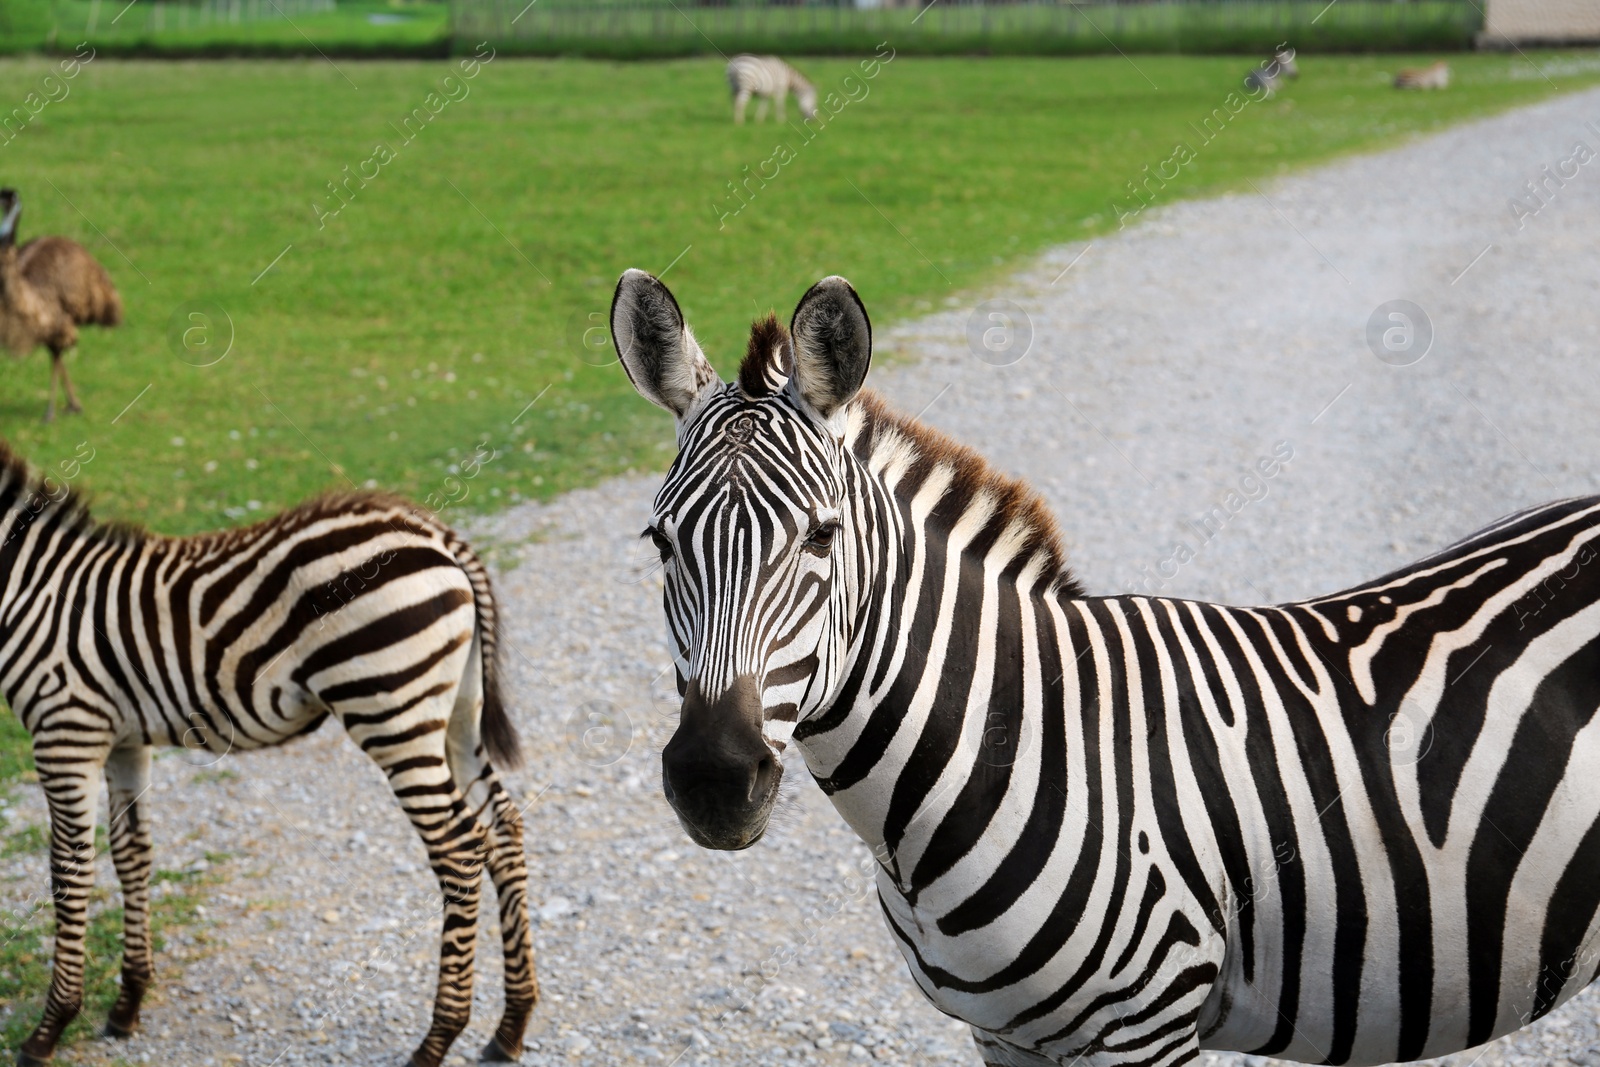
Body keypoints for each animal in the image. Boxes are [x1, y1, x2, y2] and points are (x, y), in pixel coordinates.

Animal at [0, 441, 537, 1067]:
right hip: (456, 712)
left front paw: (51, 1027)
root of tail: (438, 534)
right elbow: (132, 855)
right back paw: (510, 1025)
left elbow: (69, 870)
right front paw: (128, 1001)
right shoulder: (122, 740)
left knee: (458, 848)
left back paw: (437, 1039)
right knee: (503, 826)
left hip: (392, 712)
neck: (30, 589)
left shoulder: (64, 730)